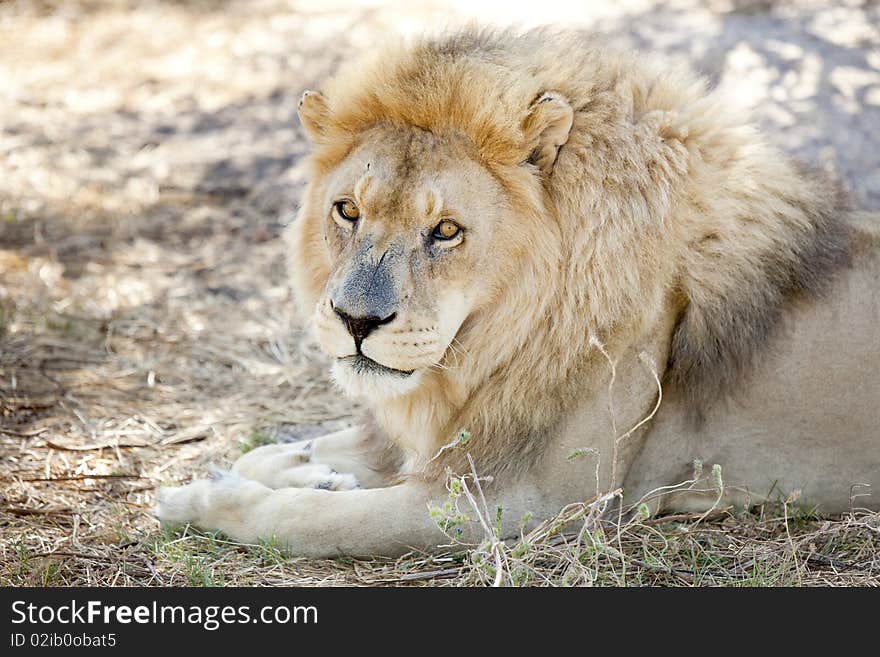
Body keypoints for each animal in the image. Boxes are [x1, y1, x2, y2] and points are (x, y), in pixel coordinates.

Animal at [158, 28, 880, 556]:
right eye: (348, 211)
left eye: (446, 230)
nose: (355, 321)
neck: (492, 345)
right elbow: (291, 449)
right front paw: (295, 467)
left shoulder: (533, 502)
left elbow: (317, 518)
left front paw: (199, 499)